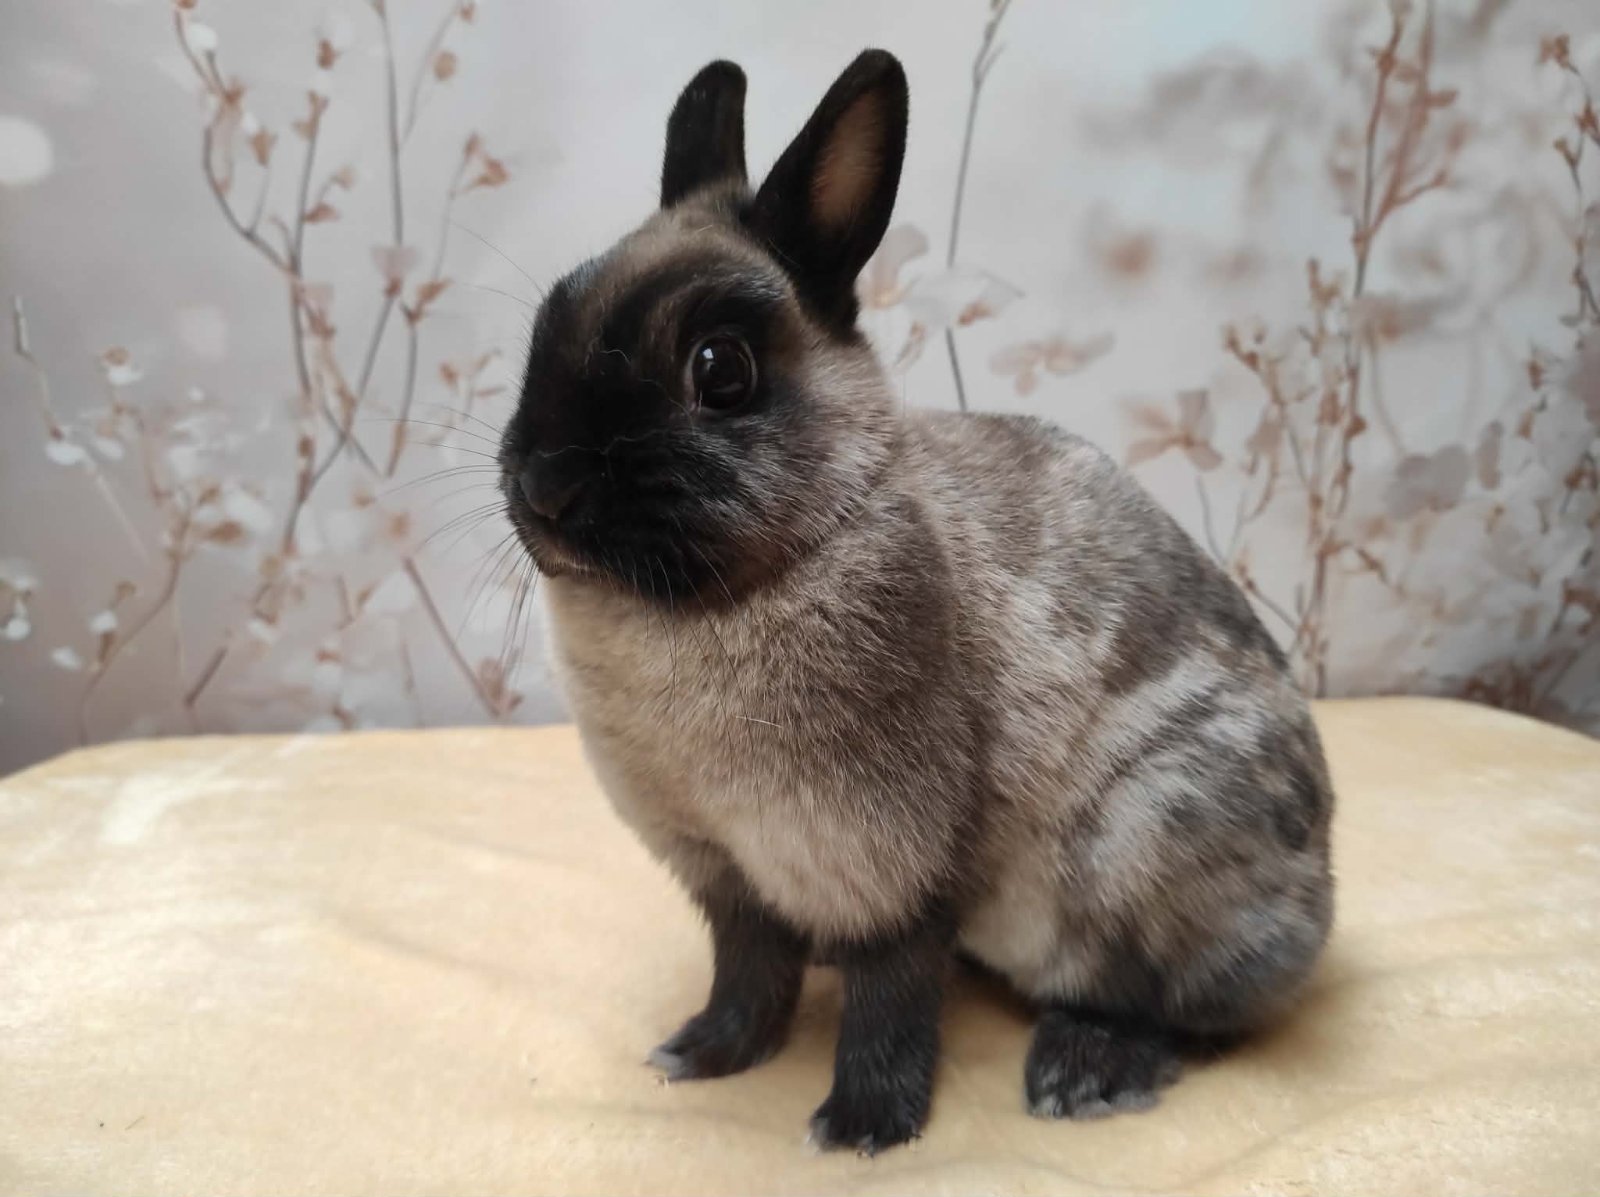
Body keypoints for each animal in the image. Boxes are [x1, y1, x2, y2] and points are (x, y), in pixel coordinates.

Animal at [497, 49, 1334, 1154]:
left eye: (720, 370)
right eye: (545, 324)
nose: (543, 486)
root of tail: (1319, 896)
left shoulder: (889, 861)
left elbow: (889, 993)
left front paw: (862, 1126)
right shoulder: (727, 872)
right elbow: (748, 971)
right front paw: (704, 1053)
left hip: (1154, 843)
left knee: (1199, 1010)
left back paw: (1086, 1069)